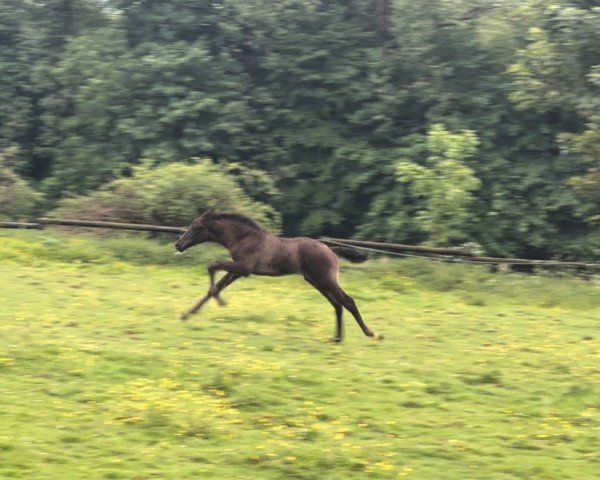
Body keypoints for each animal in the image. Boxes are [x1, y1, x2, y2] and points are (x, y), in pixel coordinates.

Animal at [173, 210, 382, 342]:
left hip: (326, 280)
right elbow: (215, 286)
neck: (243, 238)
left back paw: (371, 333)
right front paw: (187, 314)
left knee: (348, 301)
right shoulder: (237, 271)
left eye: (196, 227)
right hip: (317, 281)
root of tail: (330, 249)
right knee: (337, 305)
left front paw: (221, 302)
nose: (178, 244)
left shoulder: (243, 268)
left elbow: (212, 265)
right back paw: (337, 338)